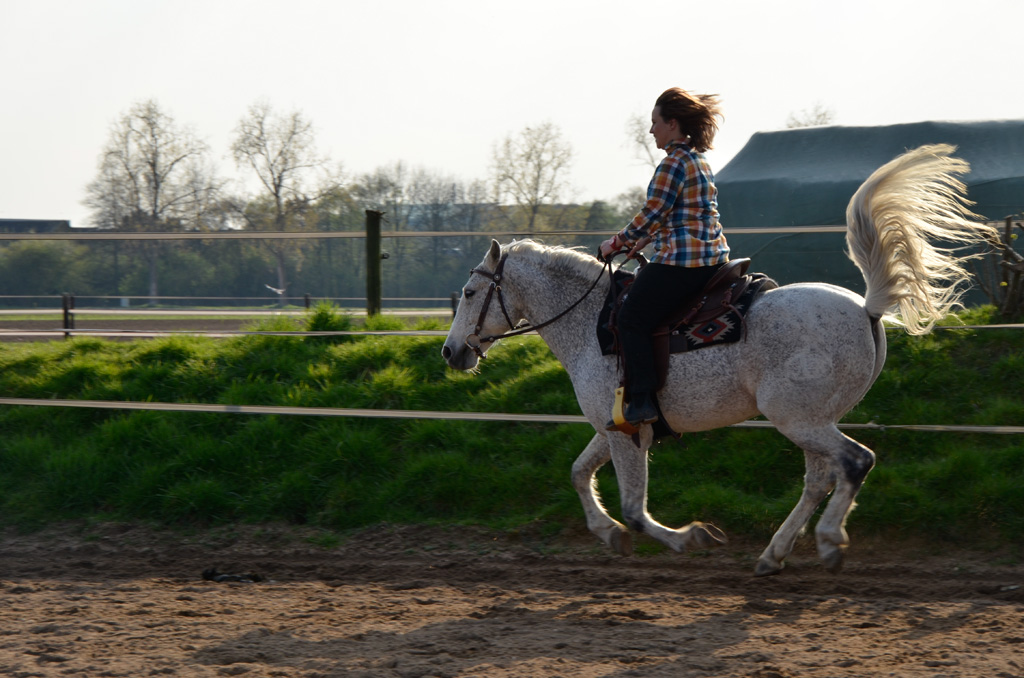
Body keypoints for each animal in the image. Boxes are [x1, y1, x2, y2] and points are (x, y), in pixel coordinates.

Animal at [442, 146, 999, 577]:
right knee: (823, 477)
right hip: (812, 419)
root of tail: (866, 307)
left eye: (468, 293)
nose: (451, 352)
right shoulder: (613, 427)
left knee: (854, 463)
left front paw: (689, 537)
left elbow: (635, 508)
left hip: (795, 417)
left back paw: (827, 542)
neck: (591, 323)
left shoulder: (625, 432)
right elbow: (580, 474)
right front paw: (610, 534)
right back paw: (774, 554)